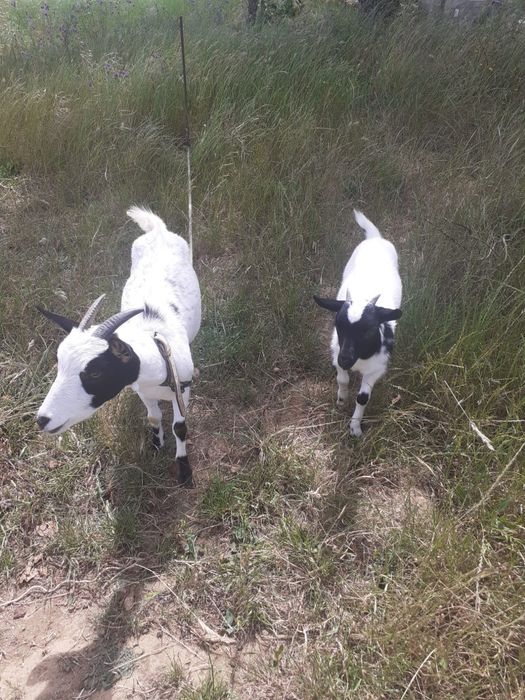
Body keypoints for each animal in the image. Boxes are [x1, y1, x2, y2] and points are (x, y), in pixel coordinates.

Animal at [36, 207, 201, 486]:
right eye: (59, 363)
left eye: (95, 372)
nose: (42, 420)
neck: (159, 352)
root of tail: (158, 230)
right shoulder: (142, 390)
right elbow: (153, 417)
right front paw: (156, 444)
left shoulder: (183, 389)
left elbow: (180, 427)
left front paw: (184, 472)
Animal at [314, 210, 402, 437]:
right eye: (338, 325)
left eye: (369, 329)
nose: (346, 359)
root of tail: (375, 238)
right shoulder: (336, 351)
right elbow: (342, 379)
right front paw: (341, 398)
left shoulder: (376, 369)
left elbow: (363, 397)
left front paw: (355, 428)